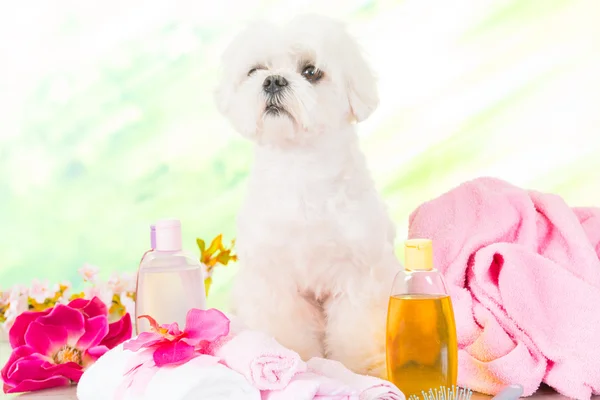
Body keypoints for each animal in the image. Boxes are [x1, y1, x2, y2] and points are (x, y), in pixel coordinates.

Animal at [213, 14, 400, 376]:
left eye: (311, 71)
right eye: (256, 69)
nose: (273, 80)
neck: (300, 169)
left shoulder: (359, 277)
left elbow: (355, 334)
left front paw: (358, 370)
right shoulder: (274, 284)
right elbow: (286, 334)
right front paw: (294, 361)